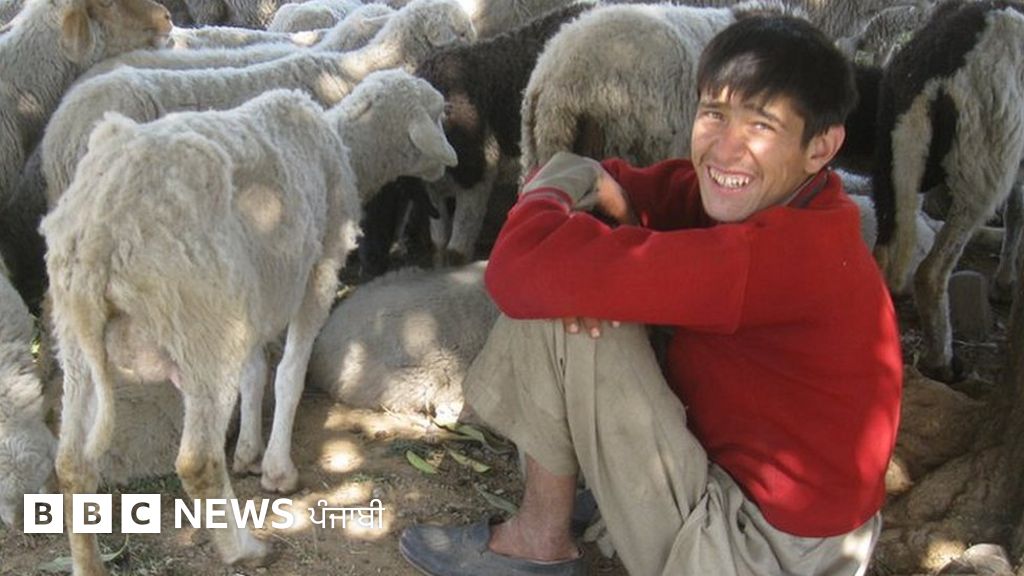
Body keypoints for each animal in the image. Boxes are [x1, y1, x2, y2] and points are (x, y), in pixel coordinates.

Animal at [40, 69, 457, 574]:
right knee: (197, 461)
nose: (450, 170)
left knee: (73, 464)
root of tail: (99, 235)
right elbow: (290, 374)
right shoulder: (318, 271)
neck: (345, 145)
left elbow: (255, 374)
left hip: (77, 336)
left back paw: (89, 562)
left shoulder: (256, 294)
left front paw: (249, 453)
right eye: (437, 114)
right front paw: (277, 470)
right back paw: (244, 548)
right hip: (203, 323)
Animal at [872, 0, 1024, 382]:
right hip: (979, 165)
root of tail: (929, 77)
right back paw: (941, 362)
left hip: (892, 159)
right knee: (930, 272)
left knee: (883, 254)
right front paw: (1005, 283)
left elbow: (1016, 209)